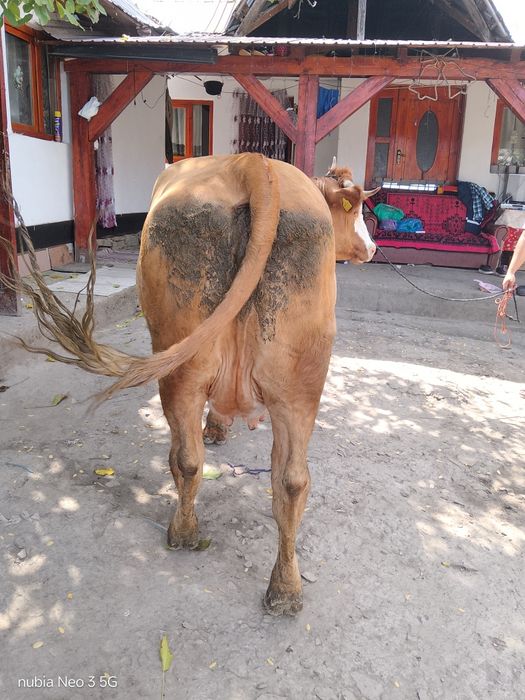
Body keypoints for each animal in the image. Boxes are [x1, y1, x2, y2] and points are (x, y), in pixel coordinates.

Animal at [11, 153, 378, 616]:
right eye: (356, 211)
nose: (373, 248)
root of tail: (251, 164)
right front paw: (218, 428)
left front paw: (217, 428)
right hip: (278, 378)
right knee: (274, 476)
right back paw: (261, 575)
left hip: (216, 371)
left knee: (215, 464)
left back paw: (223, 554)